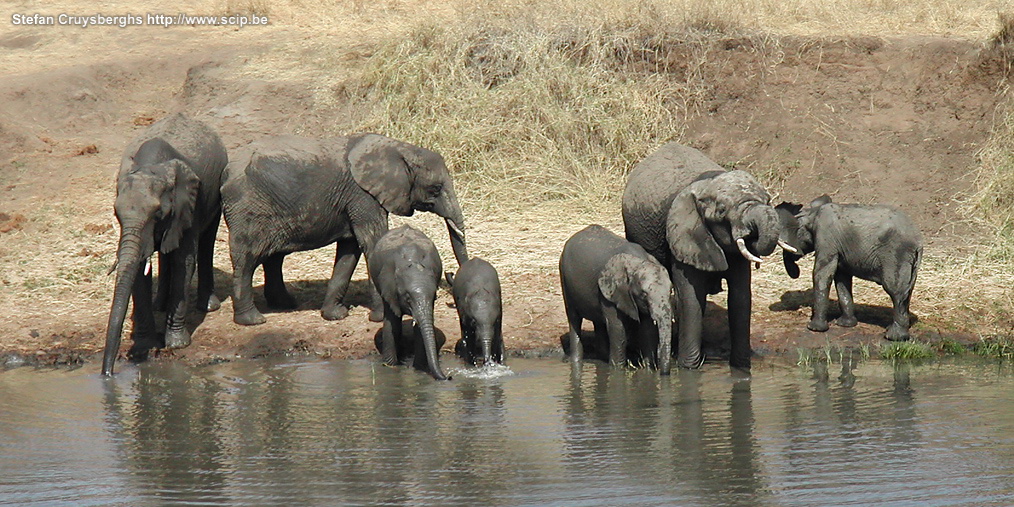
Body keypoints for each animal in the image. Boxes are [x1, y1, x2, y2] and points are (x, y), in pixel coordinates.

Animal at [101, 115, 228, 377]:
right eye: (116, 214)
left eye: (157, 214)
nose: (108, 374)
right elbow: (139, 269)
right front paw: (145, 344)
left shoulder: (189, 203)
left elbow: (185, 261)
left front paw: (177, 344)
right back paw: (159, 304)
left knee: (207, 242)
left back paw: (208, 305)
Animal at [222, 132, 466, 326]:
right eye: (435, 189)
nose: (451, 274)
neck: (399, 148)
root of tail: (227, 171)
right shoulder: (362, 196)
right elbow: (372, 243)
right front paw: (379, 319)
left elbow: (350, 250)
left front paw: (335, 315)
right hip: (247, 209)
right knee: (247, 260)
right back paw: (252, 320)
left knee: (274, 258)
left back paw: (285, 304)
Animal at [369, 226, 448, 381]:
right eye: (408, 298)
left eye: (434, 297)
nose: (449, 377)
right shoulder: (388, 285)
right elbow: (392, 323)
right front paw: (390, 367)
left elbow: (420, 328)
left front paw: (419, 369)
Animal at [563, 225, 673, 373]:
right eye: (643, 294)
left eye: (671, 291)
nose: (664, 374)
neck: (637, 261)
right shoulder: (610, 291)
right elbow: (618, 329)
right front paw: (617, 370)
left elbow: (648, 331)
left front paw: (648, 371)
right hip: (564, 278)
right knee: (574, 318)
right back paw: (577, 361)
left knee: (599, 323)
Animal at [620, 142, 794, 369]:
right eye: (721, 211)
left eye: (768, 200)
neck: (708, 185)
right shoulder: (682, 235)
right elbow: (691, 299)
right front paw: (688, 369)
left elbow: (740, 298)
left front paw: (741, 368)